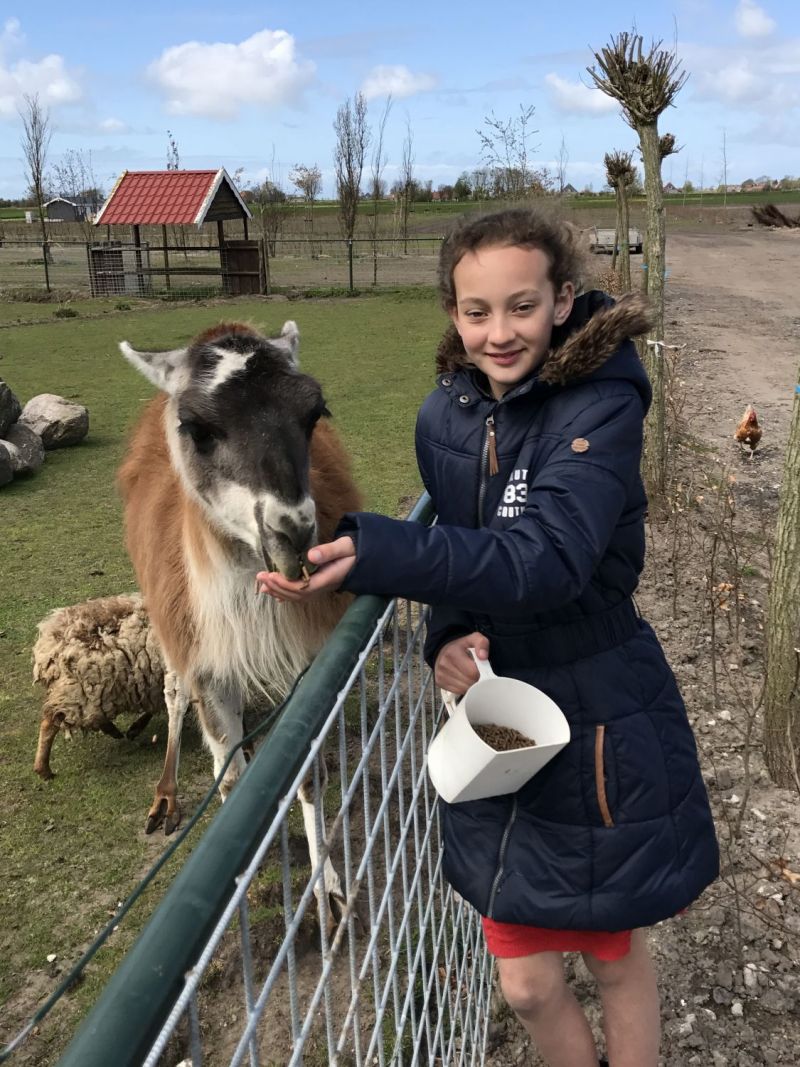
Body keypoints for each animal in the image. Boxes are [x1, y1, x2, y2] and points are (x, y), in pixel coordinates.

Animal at [33, 597, 165, 781]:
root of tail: (49, 645)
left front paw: (135, 729)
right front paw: (136, 728)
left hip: (86, 693)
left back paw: (113, 730)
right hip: (76, 693)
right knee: (49, 723)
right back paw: (43, 769)